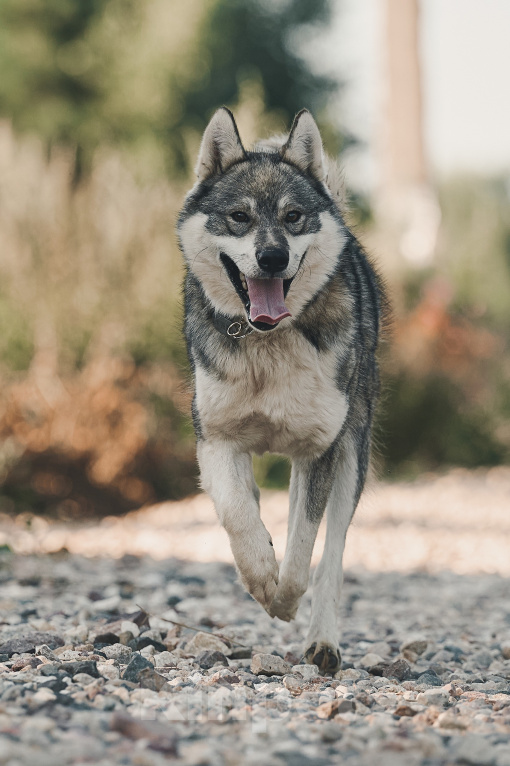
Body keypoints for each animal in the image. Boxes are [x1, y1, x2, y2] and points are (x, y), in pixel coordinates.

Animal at [177, 108, 387, 674]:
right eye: (239, 217)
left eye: (293, 216)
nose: (272, 257)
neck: (266, 341)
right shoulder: (216, 441)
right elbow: (239, 518)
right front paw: (258, 577)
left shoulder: (319, 451)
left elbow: (302, 551)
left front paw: (284, 600)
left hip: (351, 457)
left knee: (330, 553)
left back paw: (322, 642)